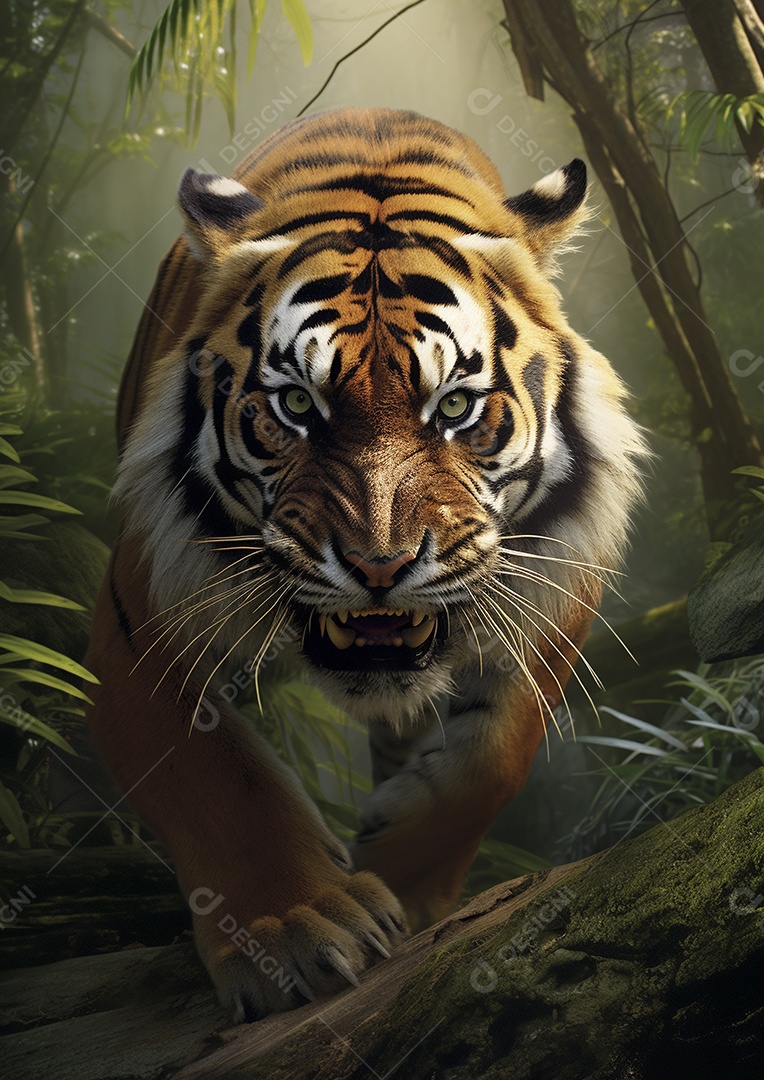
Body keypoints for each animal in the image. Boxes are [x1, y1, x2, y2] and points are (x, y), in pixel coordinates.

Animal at [84, 107, 645, 1023]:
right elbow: (218, 780)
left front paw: (403, 876)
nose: (379, 565)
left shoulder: (553, 585)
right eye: (295, 406)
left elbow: (496, 754)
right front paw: (294, 930)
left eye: (455, 406)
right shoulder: (141, 621)